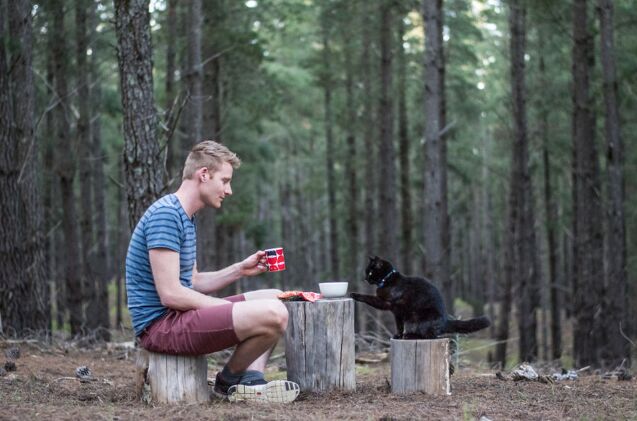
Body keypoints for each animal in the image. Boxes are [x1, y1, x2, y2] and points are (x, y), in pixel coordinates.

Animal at [350, 254, 490, 340]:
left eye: (370, 272)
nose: (365, 278)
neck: (388, 279)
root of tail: (445, 321)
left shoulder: (387, 303)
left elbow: (369, 298)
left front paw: (354, 294)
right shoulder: (397, 313)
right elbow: (399, 325)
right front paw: (398, 335)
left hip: (419, 318)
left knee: (429, 335)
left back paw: (410, 336)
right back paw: (408, 335)